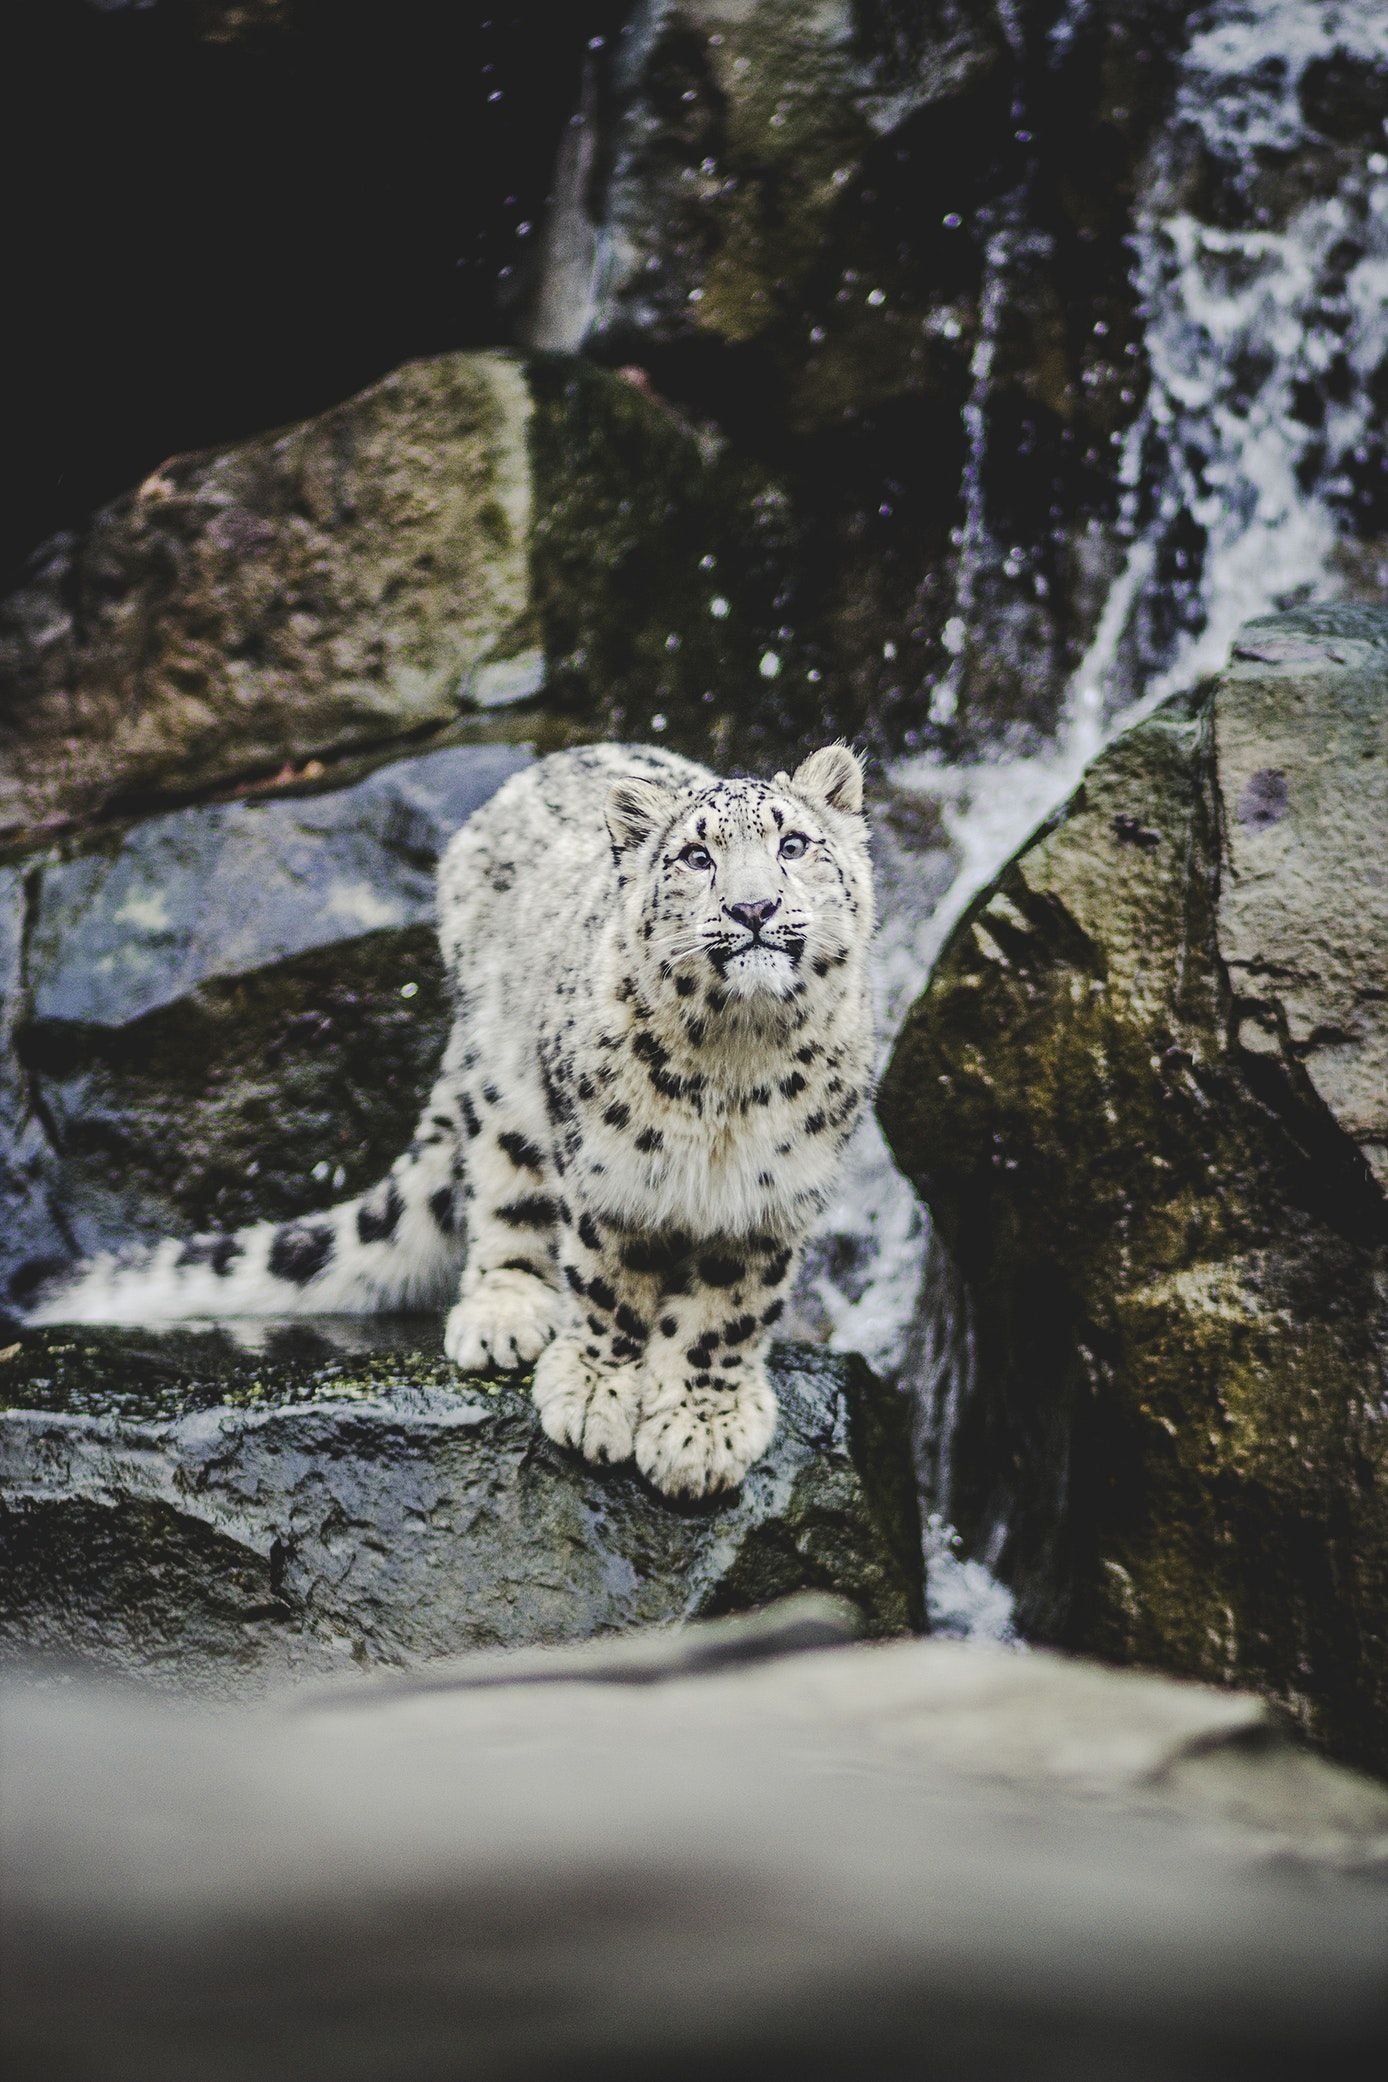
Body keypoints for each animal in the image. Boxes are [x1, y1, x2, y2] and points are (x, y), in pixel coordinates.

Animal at [29, 741, 869, 1490]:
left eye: (794, 844)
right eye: (696, 857)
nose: (753, 907)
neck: (735, 1070)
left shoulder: (771, 1199)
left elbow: (729, 1314)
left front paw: (702, 1428)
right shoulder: (609, 1171)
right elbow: (608, 1282)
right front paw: (596, 1393)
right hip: (505, 1088)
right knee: (503, 1191)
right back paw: (504, 1314)